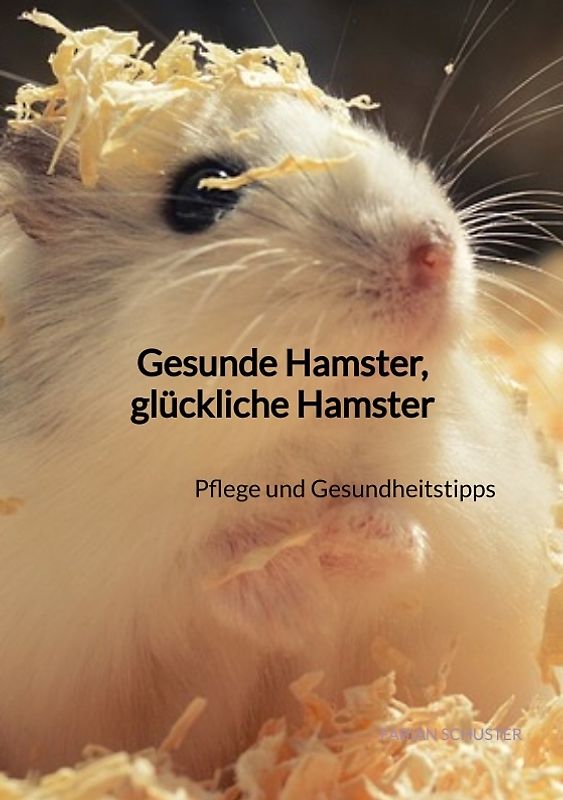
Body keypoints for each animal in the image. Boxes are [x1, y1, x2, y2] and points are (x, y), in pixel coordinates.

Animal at [0, 19, 558, 779]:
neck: (287, 445)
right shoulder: (108, 559)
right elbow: (207, 567)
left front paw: (357, 540)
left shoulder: (461, 503)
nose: (434, 252)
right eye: (201, 194)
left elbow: (410, 533)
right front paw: (291, 587)